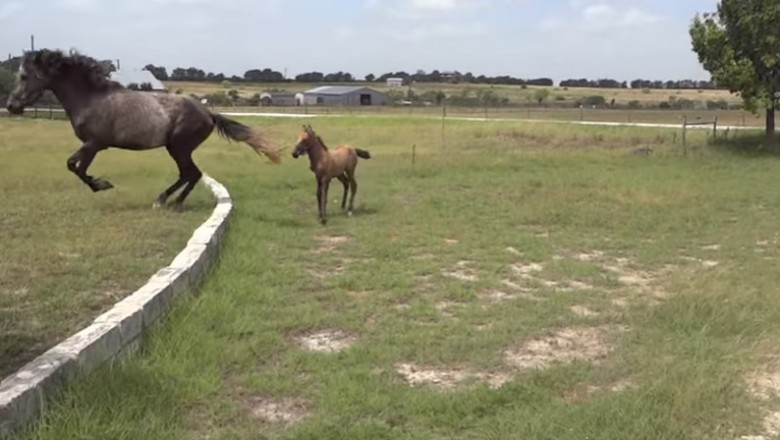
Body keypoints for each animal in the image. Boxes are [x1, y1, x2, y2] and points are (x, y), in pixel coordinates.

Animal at [6, 50, 282, 209]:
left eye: (24, 76)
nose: (11, 106)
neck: (91, 98)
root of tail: (208, 114)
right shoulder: (93, 146)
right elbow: (74, 167)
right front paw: (100, 184)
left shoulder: (94, 144)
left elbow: (76, 168)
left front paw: (102, 184)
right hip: (177, 148)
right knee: (190, 174)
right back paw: (170, 201)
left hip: (178, 147)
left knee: (191, 173)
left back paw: (166, 202)